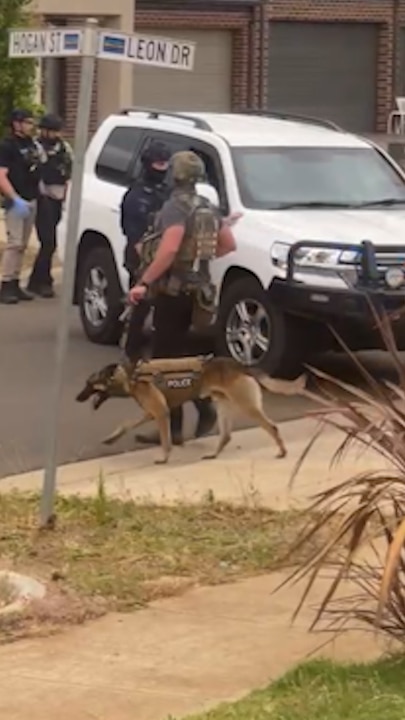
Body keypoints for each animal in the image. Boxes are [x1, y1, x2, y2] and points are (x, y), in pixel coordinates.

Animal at [76, 358, 304, 464]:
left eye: (89, 383)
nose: (76, 398)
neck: (132, 376)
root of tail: (241, 365)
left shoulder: (160, 413)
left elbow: (166, 440)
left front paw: (164, 458)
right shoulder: (151, 412)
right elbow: (126, 423)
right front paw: (111, 438)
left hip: (247, 406)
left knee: (272, 427)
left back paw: (282, 451)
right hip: (223, 407)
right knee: (226, 436)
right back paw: (213, 454)